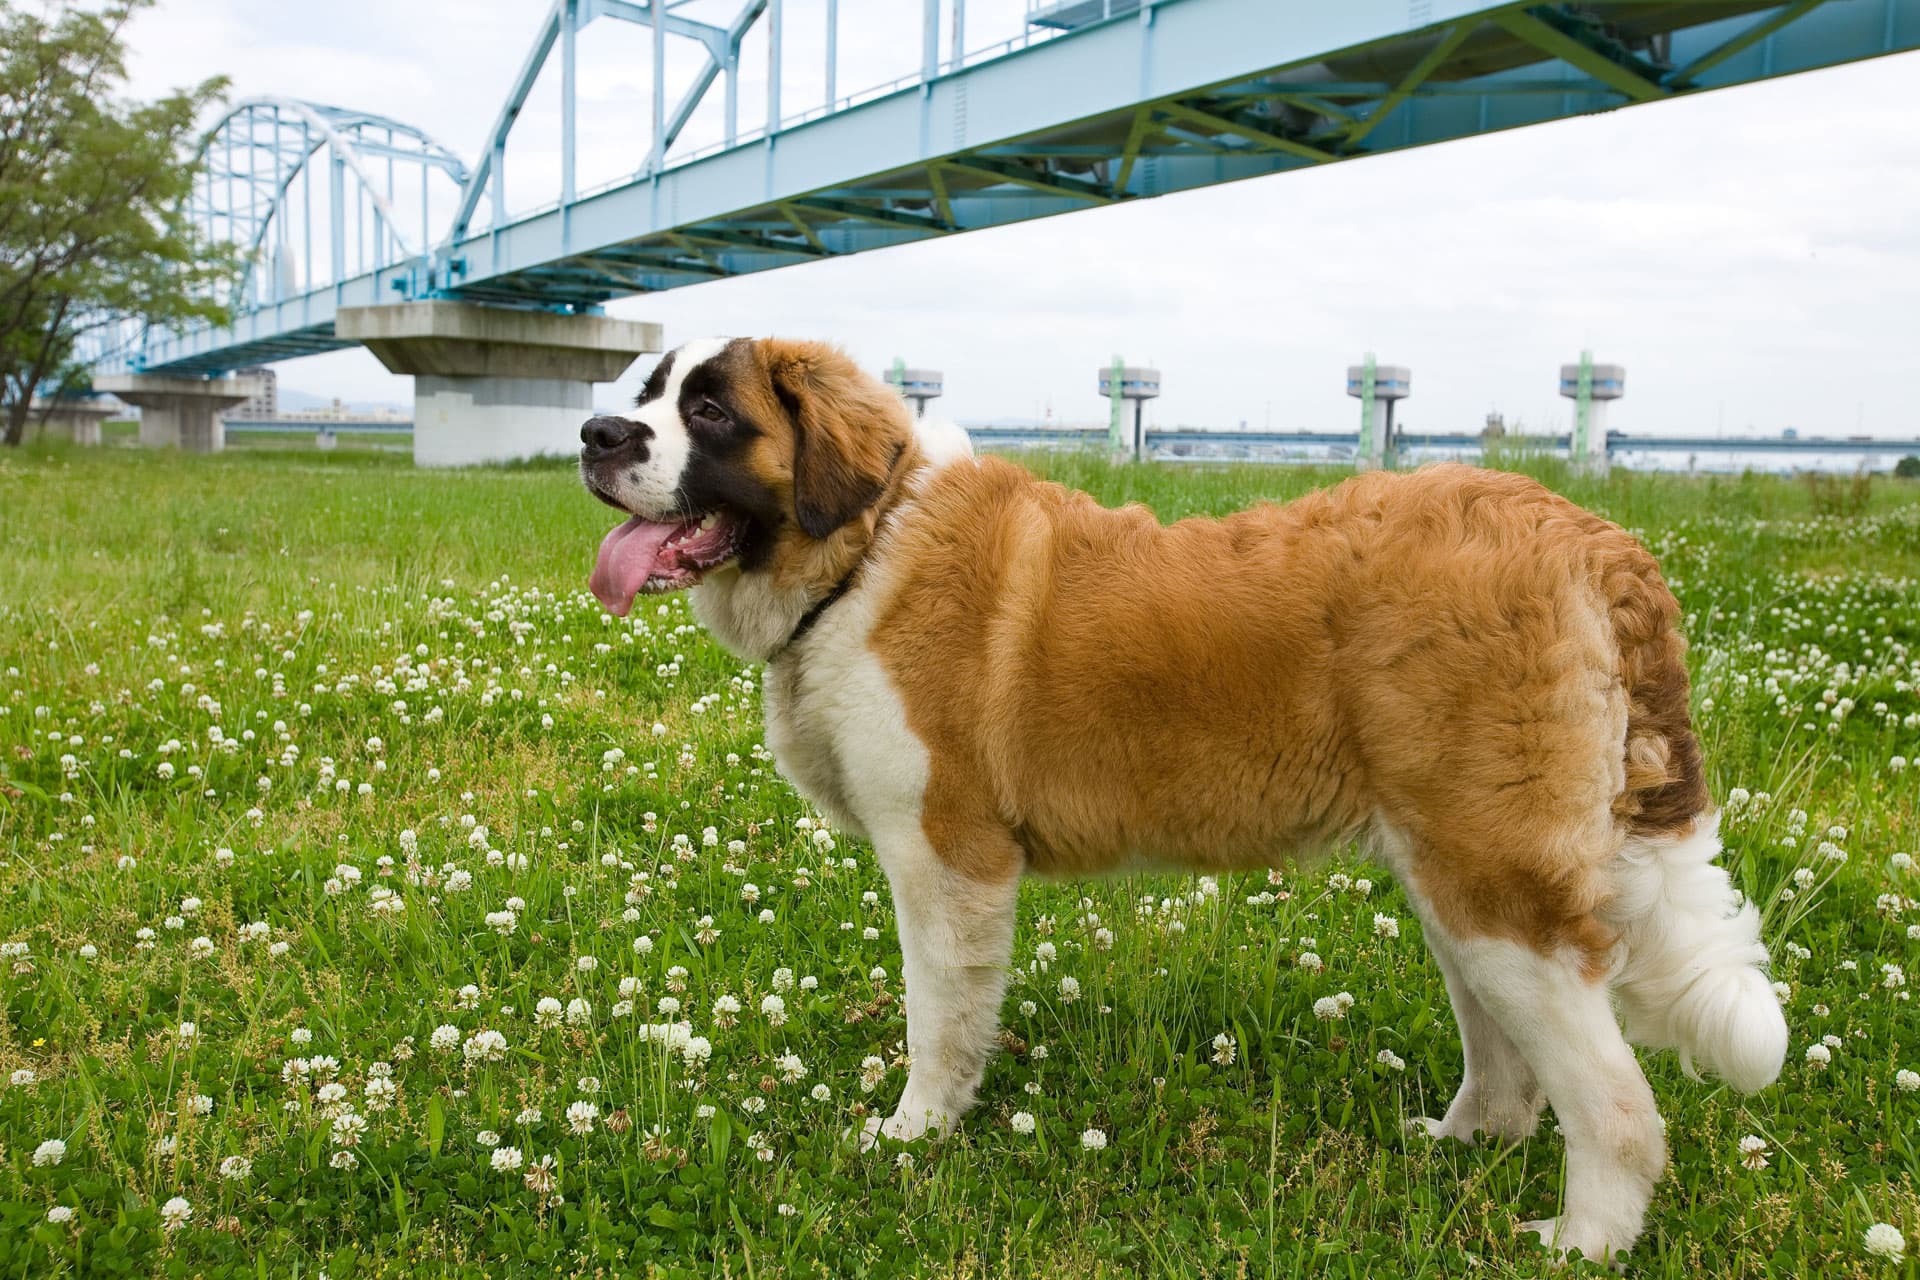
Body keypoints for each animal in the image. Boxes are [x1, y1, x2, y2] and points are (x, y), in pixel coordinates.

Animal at [576, 335, 1789, 1266]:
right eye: (641, 389)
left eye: (710, 410)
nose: (595, 435)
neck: (864, 551)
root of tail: (1590, 535)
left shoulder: (945, 858)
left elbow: (939, 1019)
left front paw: (915, 1133)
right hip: (1457, 874)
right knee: (1506, 1064)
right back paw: (1455, 1145)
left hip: (1498, 883)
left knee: (1618, 1106)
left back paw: (1582, 1240)